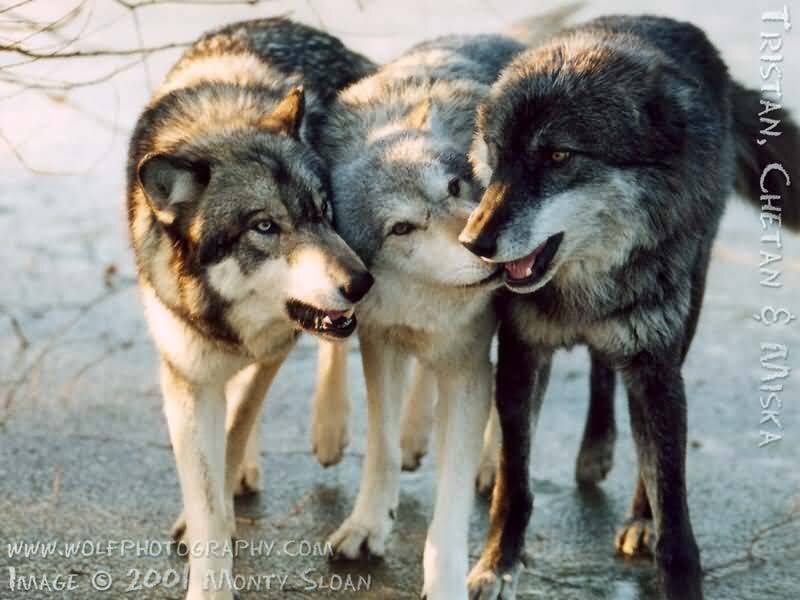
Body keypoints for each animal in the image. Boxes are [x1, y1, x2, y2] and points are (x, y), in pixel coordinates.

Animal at [126, 18, 375, 599]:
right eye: (265, 226)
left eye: (322, 211)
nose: (362, 283)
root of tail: (292, 22)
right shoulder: (186, 376)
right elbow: (206, 493)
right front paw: (209, 577)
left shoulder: (276, 344)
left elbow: (239, 421)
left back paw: (330, 427)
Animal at [310, 8, 577, 599]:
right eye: (402, 228)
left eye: (456, 186)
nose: (482, 245)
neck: (420, 297)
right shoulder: (379, 342)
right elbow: (381, 447)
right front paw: (368, 524)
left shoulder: (468, 366)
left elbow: (449, 506)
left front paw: (447, 578)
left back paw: (490, 462)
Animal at [459, 15, 800, 600]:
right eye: (497, 151)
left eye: (558, 156)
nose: (473, 243)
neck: (584, 287)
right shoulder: (522, 352)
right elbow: (516, 483)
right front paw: (498, 562)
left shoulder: (654, 369)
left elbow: (673, 502)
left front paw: (676, 572)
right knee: (596, 369)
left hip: (683, 326)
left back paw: (636, 509)